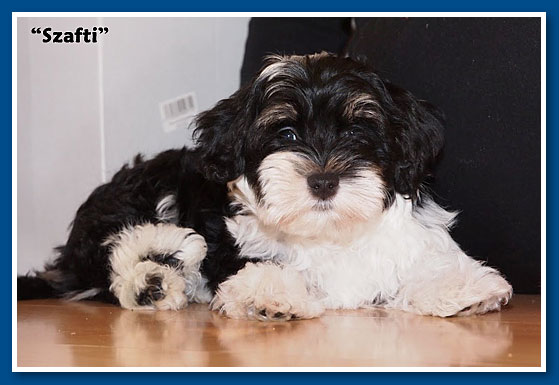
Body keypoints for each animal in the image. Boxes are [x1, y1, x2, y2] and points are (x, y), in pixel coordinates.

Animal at [19, 52, 516, 320]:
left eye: (357, 132)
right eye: (288, 135)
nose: (323, 180)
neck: (330, 232)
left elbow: (422, 265)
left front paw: (463, 287)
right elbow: (267, 271)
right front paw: (270, 293)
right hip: (146, 195)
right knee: (122, 252)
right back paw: (154, 274)